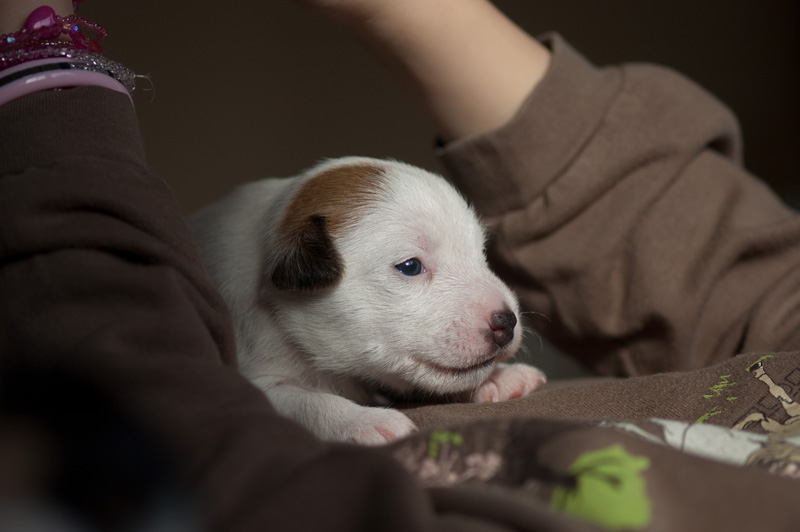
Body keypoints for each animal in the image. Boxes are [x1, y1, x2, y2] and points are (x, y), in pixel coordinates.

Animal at [191, 158, 548, 444]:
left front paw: (500, 376)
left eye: (482, 255)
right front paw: (365, 420)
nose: (507, 322)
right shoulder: (256, 378)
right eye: (410, 266)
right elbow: (306, 400)